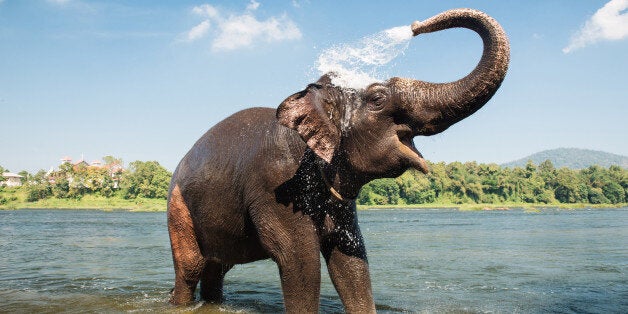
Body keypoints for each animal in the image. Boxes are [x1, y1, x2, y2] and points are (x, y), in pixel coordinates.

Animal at [168, 7, 510, 314]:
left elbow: (351, 260)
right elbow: (300, 261)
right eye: (377, 99)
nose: (415, 25)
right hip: (178, 207)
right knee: (191, 267)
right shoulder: (274, 186)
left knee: (217, 267)